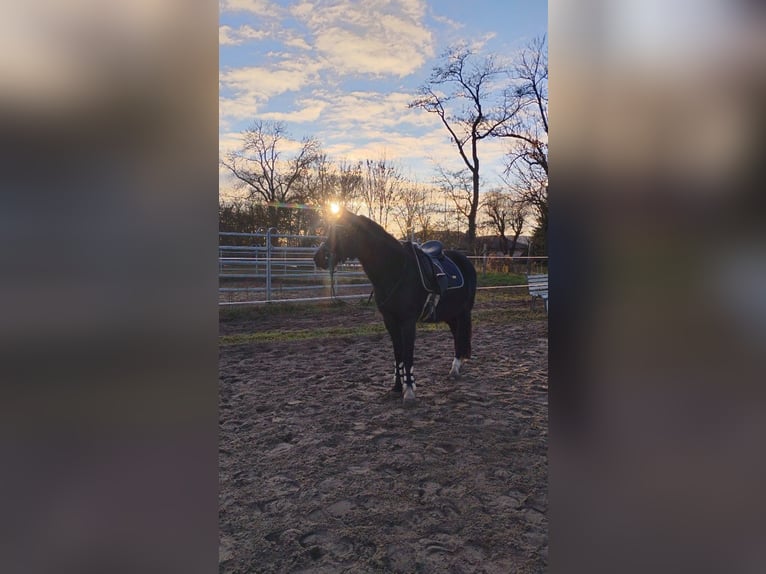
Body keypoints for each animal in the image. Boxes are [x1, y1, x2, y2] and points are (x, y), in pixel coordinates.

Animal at [313, 208, 477, 402]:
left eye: (343, 231)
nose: (318, 258)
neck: (395, 269)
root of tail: (464, 259)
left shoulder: (408, 321)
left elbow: (407, 353)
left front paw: (410, 390)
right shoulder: (390, 321)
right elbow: (398, 353)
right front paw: (397, 387)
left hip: (464, 312)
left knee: (460, 336)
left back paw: (455, 369)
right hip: (451, 314)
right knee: (457, 335)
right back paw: (456, 367)